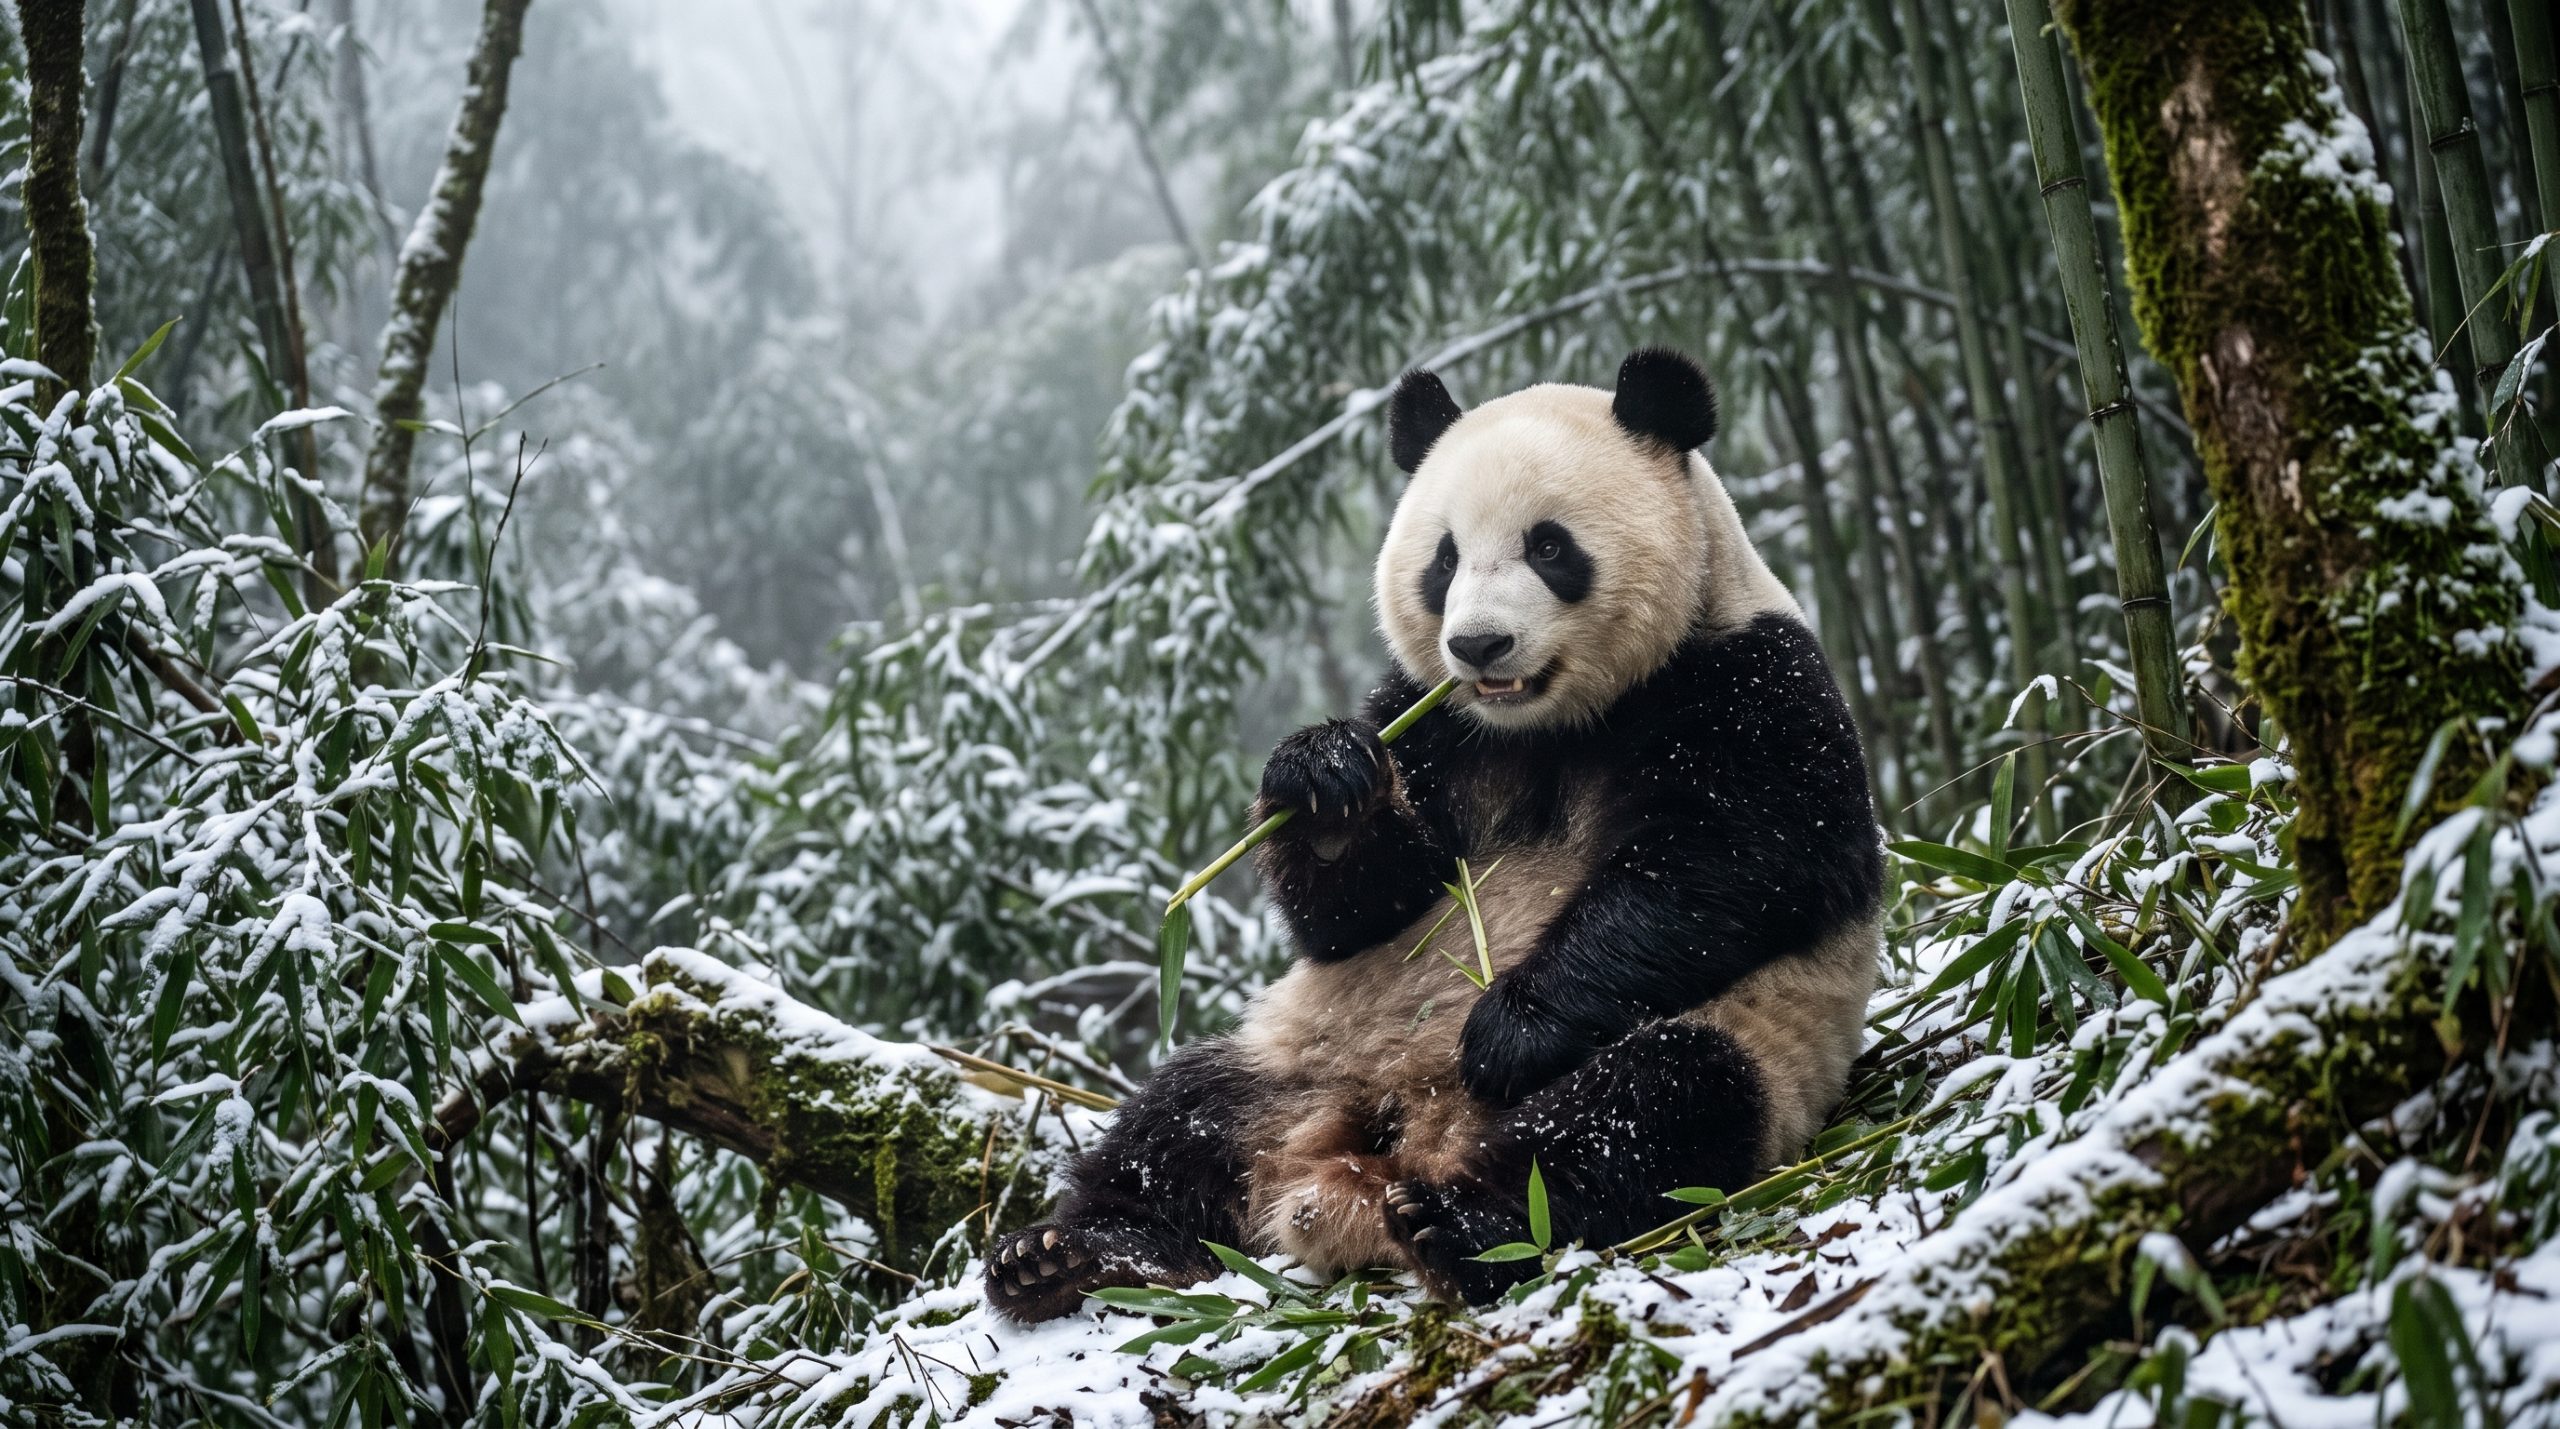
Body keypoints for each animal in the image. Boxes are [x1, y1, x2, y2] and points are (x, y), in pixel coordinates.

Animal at [986, 347, 1882, 1321]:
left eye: (1549, 546)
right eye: (1444, 559)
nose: (1479, 645)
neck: (1551, 722)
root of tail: (1374, 1155)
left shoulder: (1747, 677)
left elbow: (1740, 859)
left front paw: (1507, 1029)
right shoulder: (1430, 723)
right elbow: (1356, 911)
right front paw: (1324, 782)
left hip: (1751, 1045)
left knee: (1646, 1109)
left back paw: (1461, 1226)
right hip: (1300, 1052)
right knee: (1178, 1118)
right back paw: (1070, 1253)